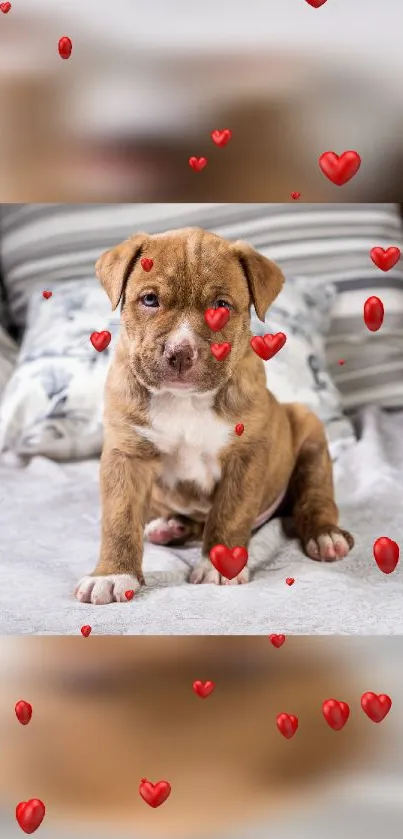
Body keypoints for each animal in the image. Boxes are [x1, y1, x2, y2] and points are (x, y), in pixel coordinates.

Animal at [75, 226, 354, 604]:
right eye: (149, 300)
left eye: (221, 306)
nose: (180, 352)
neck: (184, 401)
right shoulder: (126, 454)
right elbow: (119, 519)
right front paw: (112, 574)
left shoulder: (245, 455)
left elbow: (229, 512)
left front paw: (220, 567)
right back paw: (169, 527)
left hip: (308, 434)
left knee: (315, 496)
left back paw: (326, 536)